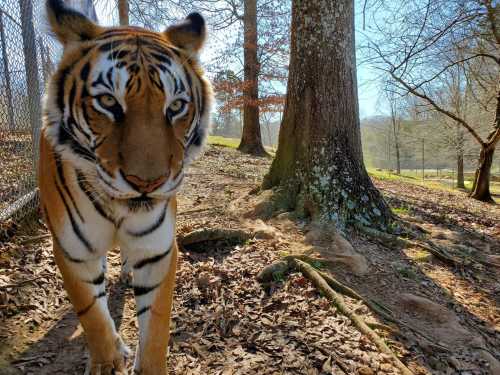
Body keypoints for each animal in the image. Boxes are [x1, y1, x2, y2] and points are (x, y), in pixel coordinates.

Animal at [38, 1, 211, 374]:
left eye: (176, 106)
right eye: (107, 102)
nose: (148, 183)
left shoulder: (157, 250)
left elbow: (157, 323)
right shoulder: (72, 250)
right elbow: (92, 313)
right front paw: (108, 360)